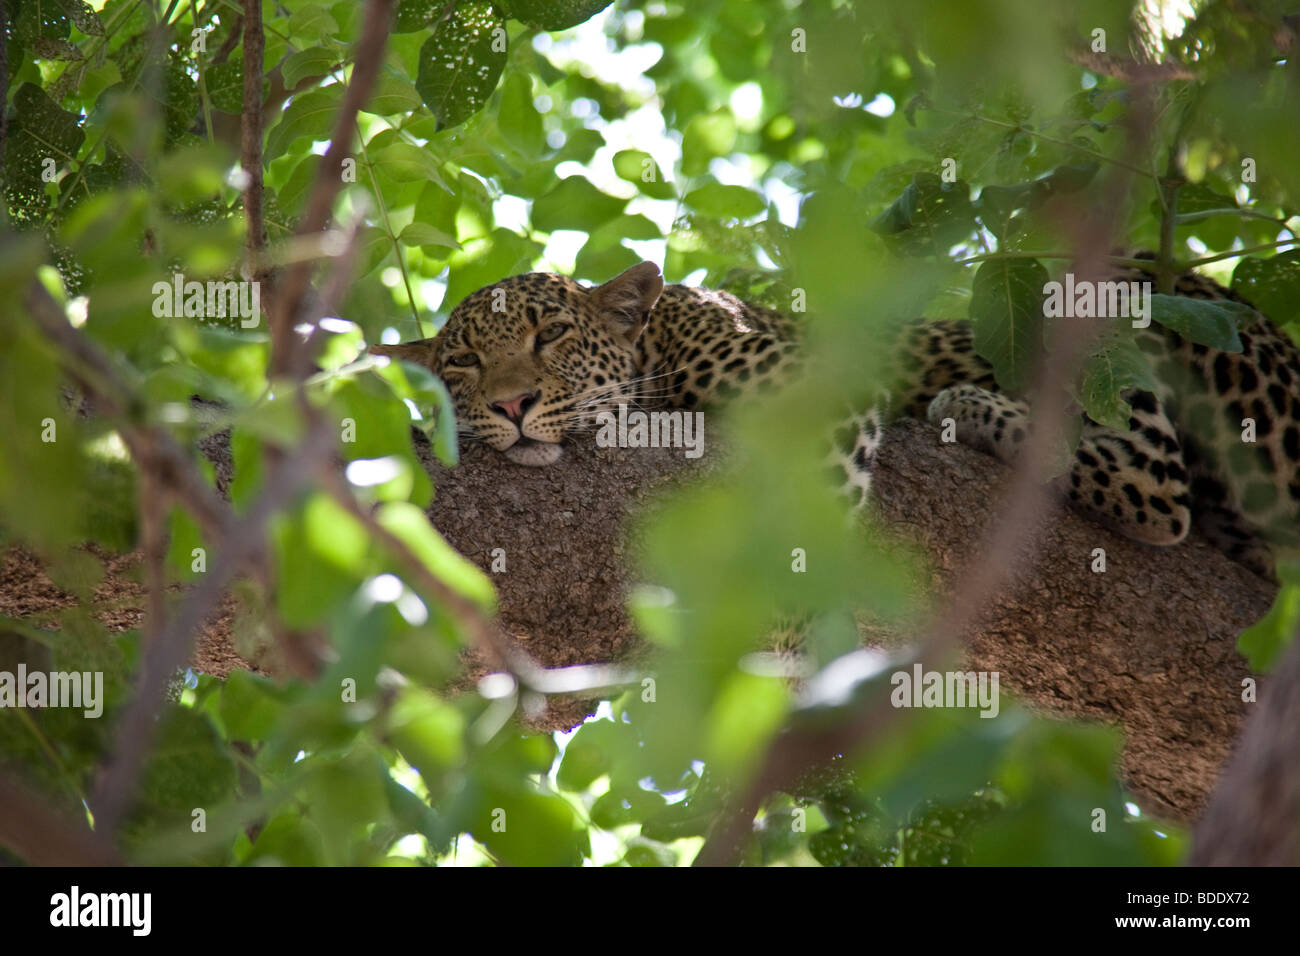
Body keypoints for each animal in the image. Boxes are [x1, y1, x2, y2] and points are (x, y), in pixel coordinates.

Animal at [369, 254, 1300, 580]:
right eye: (462, 365)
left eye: (552, 333)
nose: (511, 404)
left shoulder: (807, 382)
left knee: (1163, 492)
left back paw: (973, 406)